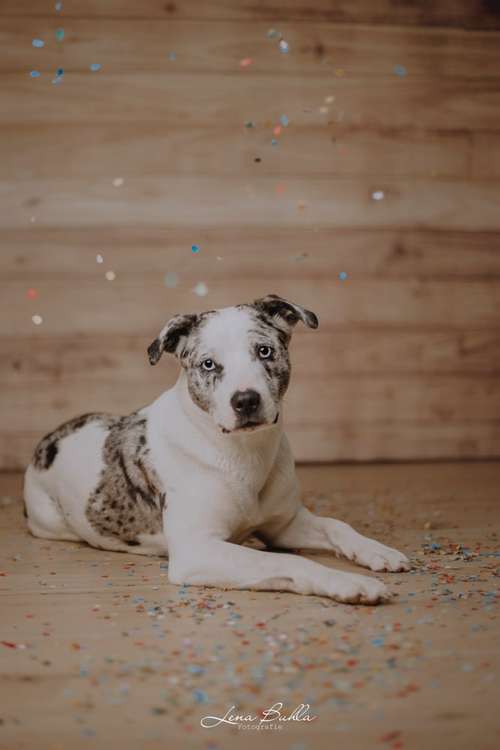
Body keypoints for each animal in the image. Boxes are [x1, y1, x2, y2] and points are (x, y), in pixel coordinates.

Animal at [22, 296, 410, 604]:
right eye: (208, 364)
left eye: (264, 351)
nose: (246, 400)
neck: (243, 452)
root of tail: (49, 440)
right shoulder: (198, 551)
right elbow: (284, 560)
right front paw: (348, 582)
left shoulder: (284, 525)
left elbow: (336, 525)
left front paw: (378, 550)